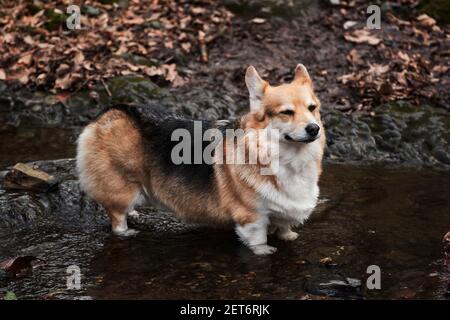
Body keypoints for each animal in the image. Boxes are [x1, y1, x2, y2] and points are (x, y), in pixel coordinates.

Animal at [76, 64, 324, 255]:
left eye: (312, 108)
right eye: (286, 112)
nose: (314, 129)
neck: (286, 158)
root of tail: (109, 112)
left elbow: (284, 227)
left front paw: (288, 236)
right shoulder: (252, 218)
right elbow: (258, 239)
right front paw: (264, 251)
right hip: (121, 189)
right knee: (117, 218)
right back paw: (127, 230)